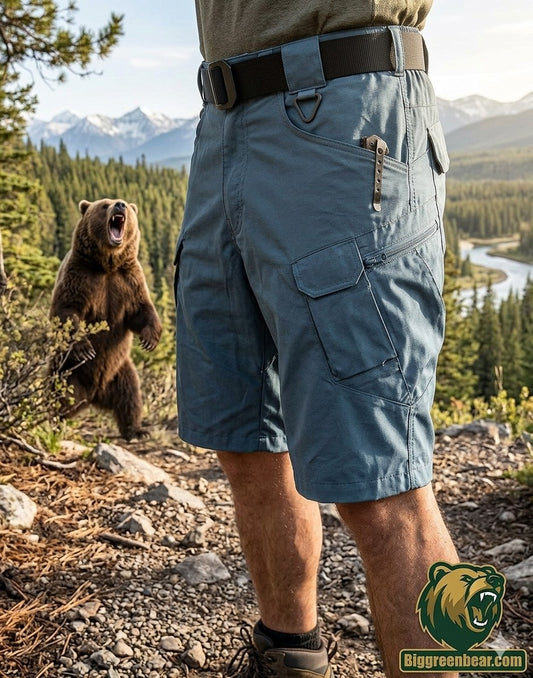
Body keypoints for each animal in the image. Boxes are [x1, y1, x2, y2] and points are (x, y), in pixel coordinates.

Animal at [50, 198, 162, 440]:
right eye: (104, 205)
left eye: (126, 204)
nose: (120, 205)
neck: (107, 264)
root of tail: (93, 395)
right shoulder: (80, 277)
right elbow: (67, 309)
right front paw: (85, 348)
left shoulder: (128, 281)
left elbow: (141, 310)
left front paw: (150, 339)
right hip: (67, 369)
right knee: (60, 396)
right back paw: (54, 422)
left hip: (119, 371)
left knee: (130, 396)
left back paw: (136, 430)